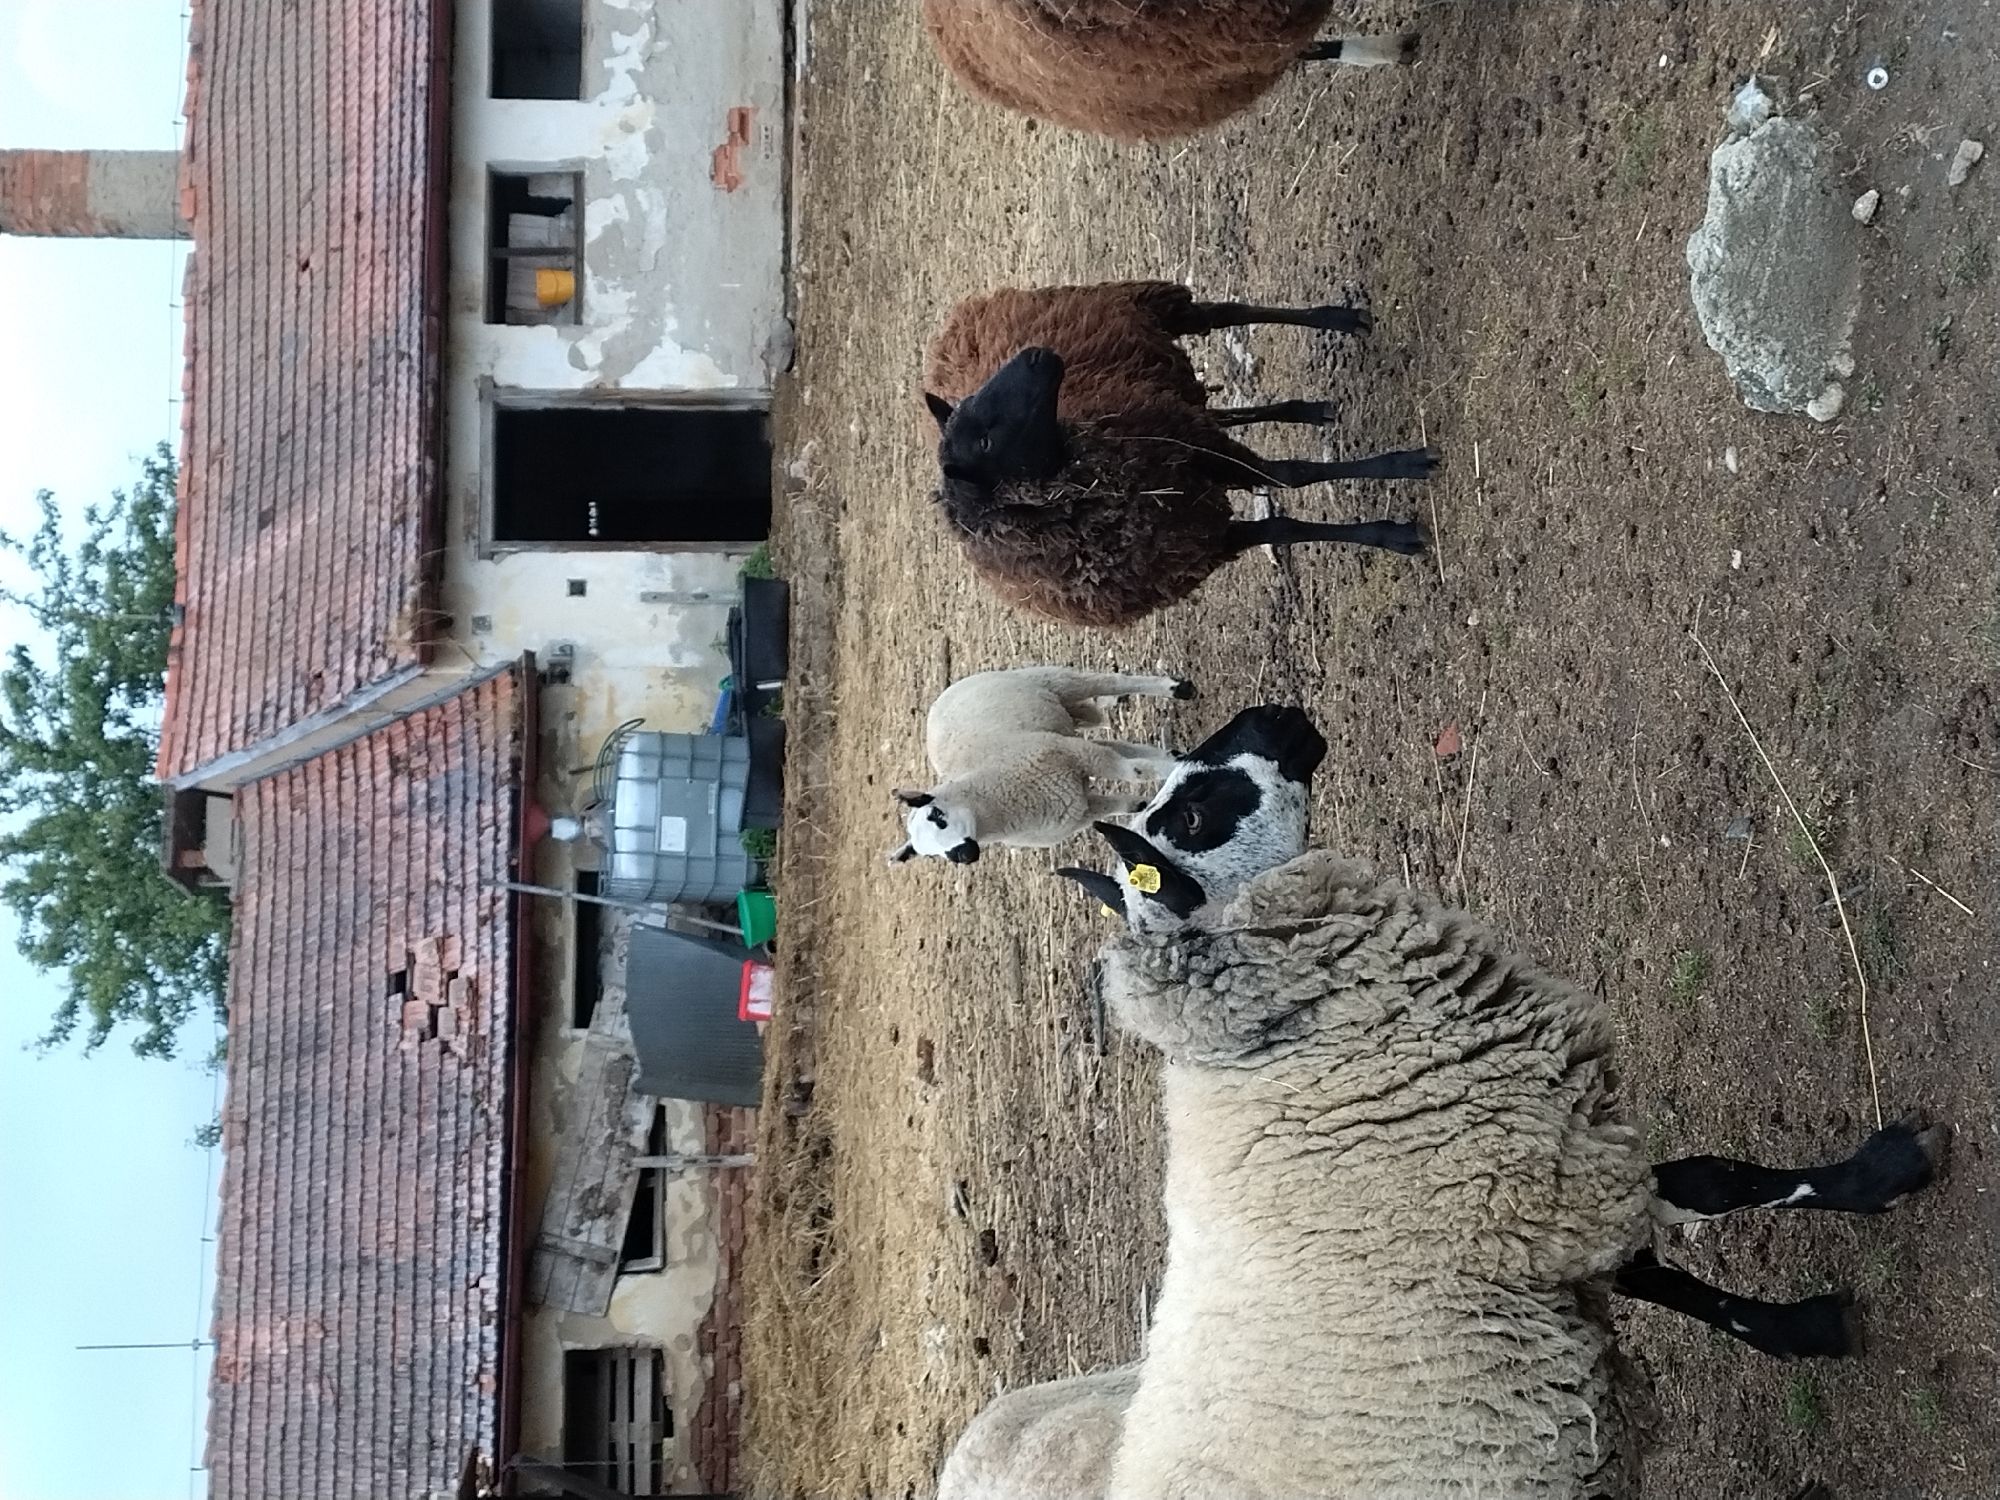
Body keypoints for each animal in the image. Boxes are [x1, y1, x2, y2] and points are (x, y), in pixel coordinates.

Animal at [886, 665, 1194, 866]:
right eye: (929, 855)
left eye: (937, 815)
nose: (962, 856)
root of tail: (941, 697)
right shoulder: (1077, 808)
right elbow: (1121, 801)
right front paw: (1147, 801)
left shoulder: (1073, 754)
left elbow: (1135, 772)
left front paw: (1177, 771)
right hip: (1059, 729)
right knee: (1120, 745)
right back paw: (1171, 754)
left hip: (1051, 681)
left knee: (1110, 682)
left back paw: (1177, 689)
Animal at [923, 281, 1435, 627]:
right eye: (985, 441)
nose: (1034, 354)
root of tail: (956, 321)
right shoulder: (1200, 539)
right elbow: (1285, 521)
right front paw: (1392, 530)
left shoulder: (1199, 456)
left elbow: (1291, 475)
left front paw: (1403, 473)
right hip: (1171, 398)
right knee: (1223, 408)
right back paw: (1308, 410)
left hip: (1153, 307)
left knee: (1225, 312)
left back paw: (1339, 320)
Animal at [940, 706, 1943, 1497]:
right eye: (1190, 813)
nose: (1273, 715)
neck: (1278, 1043)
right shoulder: (1530, 1177)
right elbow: (1717, 1185)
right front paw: (1881, 1180)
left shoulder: (1529, 1221)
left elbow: (1674, 1262)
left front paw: (1796, 1326)